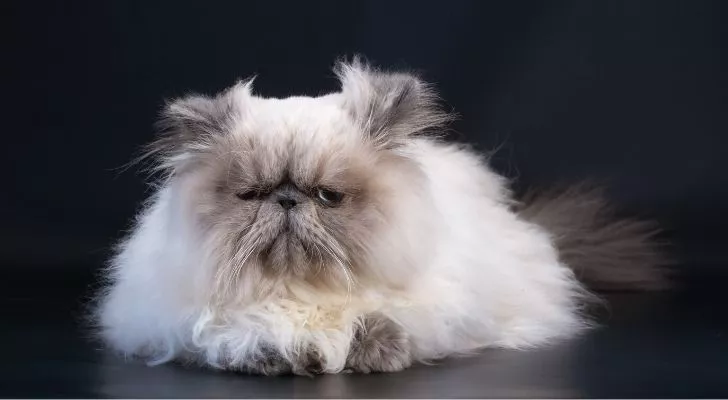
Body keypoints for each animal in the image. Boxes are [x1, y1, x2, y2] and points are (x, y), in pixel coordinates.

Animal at [94, 57, 668, 376]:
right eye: (253, 194)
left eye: (327, 196)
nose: (287, 200)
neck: (303, 290)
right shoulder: (176, 319)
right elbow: (235, 331)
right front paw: (278, 355)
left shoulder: (439, 302)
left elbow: (383, 319)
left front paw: (365, 352)